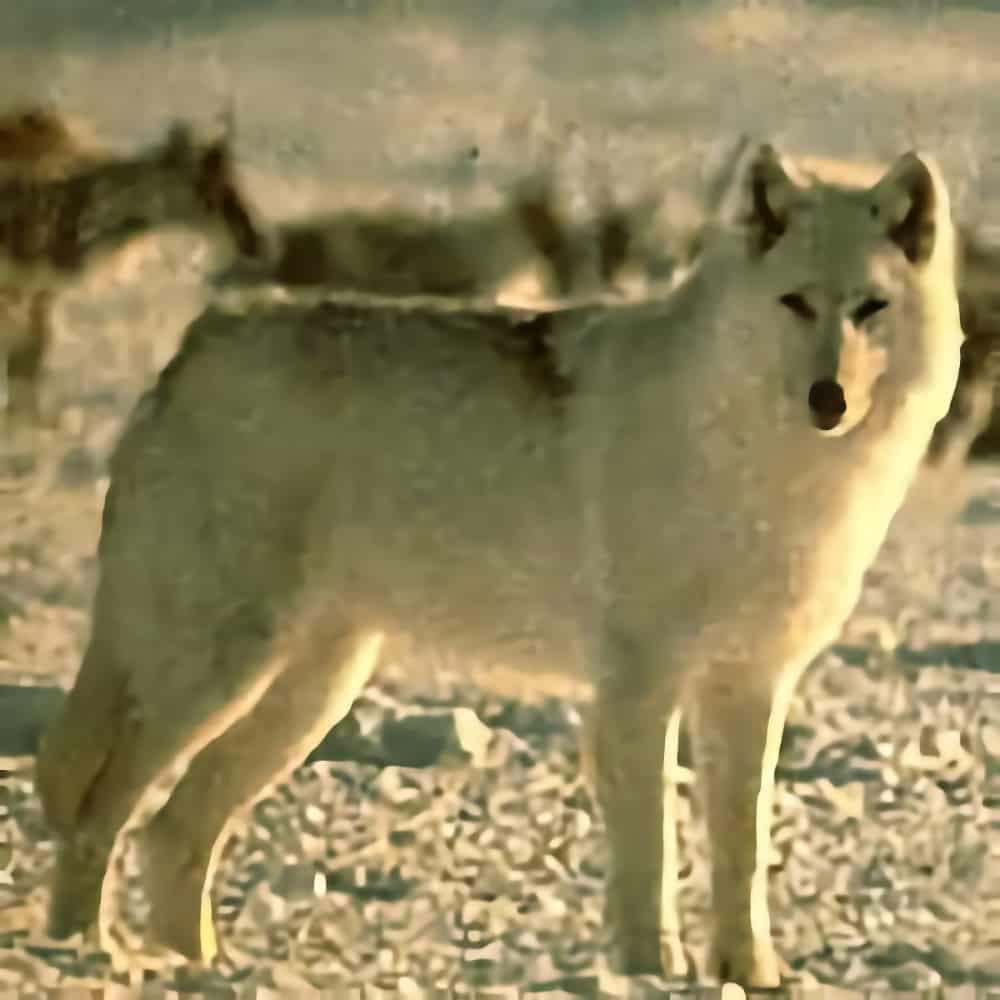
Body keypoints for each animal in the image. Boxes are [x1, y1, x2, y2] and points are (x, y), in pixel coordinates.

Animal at [34, 141, 962, 987]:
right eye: (796, 303)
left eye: (870, 308)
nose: (827, 399)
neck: (765, 466)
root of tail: (201, 338)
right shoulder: (638, 689)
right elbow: (651, 855)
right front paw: (647, 972)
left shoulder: (751, 687)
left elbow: (741, 849)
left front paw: (750, 975)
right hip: (219, 671)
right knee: (98, 811)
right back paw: (89, 956)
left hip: (311, 693)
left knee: (173, 831)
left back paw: (194, 967)